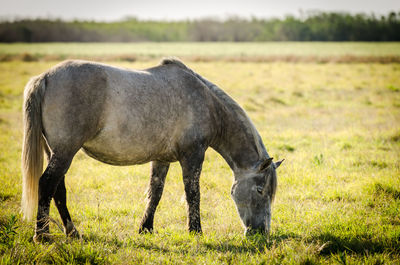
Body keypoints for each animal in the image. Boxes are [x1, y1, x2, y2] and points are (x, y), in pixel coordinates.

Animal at [21, 58, 282, 241]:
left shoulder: (161, 159)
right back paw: (42, 235)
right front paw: (196, 231)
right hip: (65, 151)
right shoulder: (193, 156)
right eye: (260, 190)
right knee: (46, 184)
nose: (260, 232)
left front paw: (145, 228)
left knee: (58, 190)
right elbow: (193, 194)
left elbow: (155, 192)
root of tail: (45, 77)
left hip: (56, 151)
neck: (207, 104)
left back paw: (72, 232)